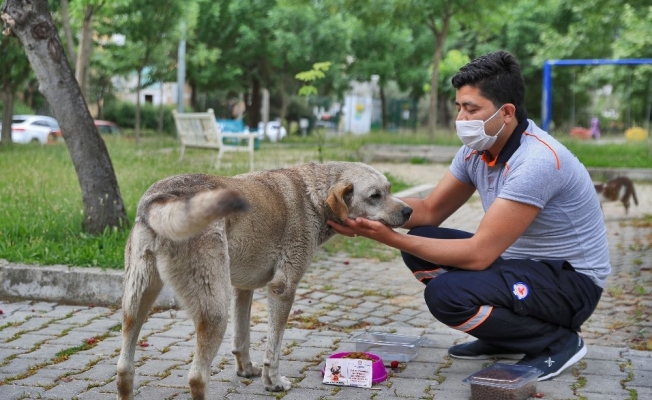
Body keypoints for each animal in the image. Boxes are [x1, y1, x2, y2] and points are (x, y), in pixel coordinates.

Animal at [116, 162, 412, 399]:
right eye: (375, 196)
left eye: (389, 189)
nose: (409, 210)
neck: (312, 196)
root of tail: (163, 200)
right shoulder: (283, 289)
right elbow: (274, 348)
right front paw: (273, 382)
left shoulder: (242, 289)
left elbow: (242, 338)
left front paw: (246, 370)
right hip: (214, 312)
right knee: (197, 378)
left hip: (136, 303)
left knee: (124, 369)